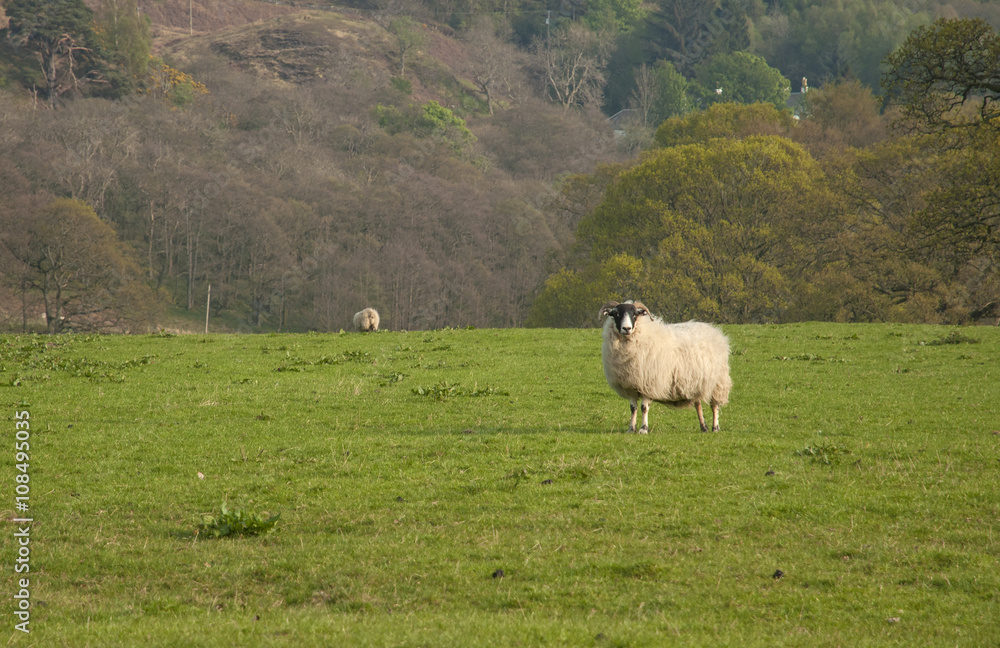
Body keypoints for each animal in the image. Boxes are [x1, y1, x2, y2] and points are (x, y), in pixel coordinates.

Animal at [600, 300, 731, 433]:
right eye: (616, 314)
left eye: (635, 314)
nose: (626, 328)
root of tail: (714, 331)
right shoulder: (631, 386)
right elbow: (633, 408)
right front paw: (631, 429)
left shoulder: (649, 383)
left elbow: (644, 407)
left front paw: (643, 429)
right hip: (693, 382)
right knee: (698, 404)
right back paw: (703, 427)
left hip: (718, 381)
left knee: (715, 405)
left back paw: (715, 427)